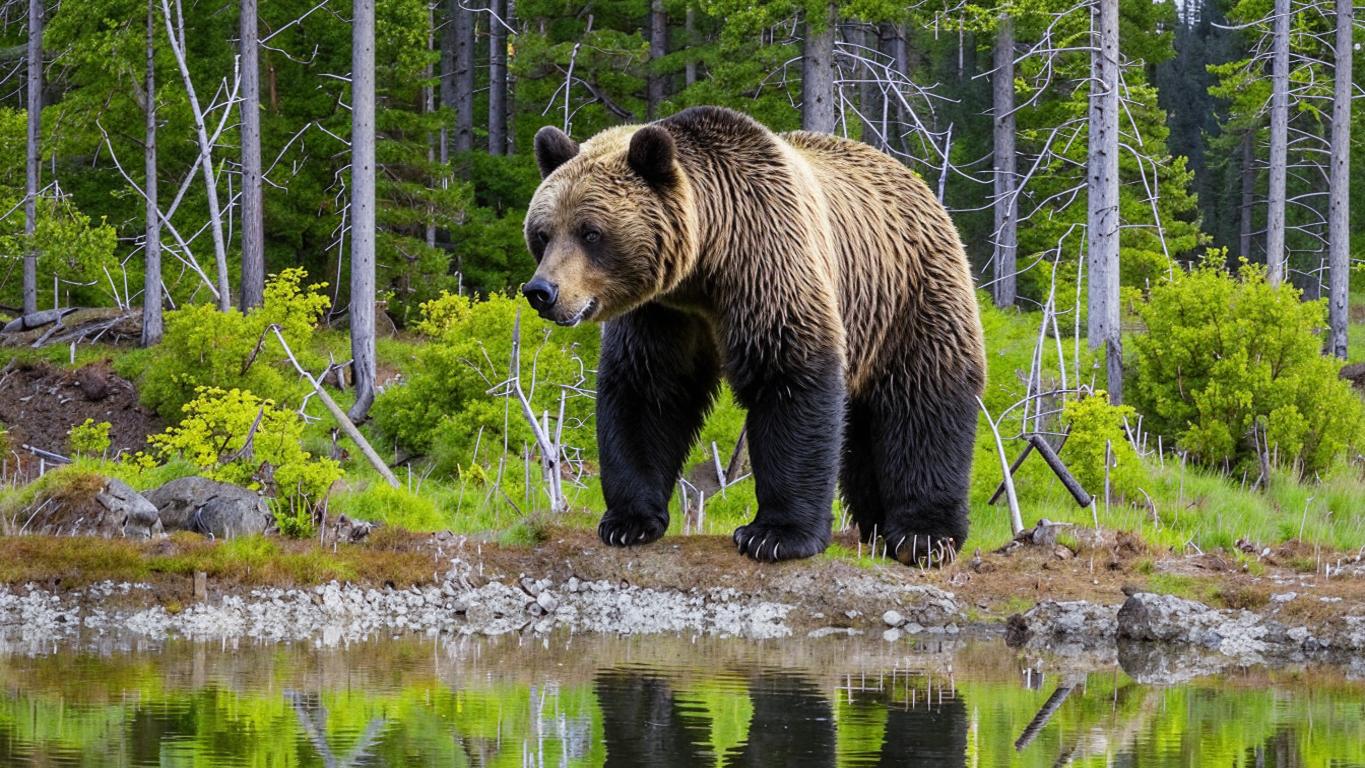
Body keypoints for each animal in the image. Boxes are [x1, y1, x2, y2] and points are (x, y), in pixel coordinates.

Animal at [518, 106, 982, 564]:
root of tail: (918, 184)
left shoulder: (768, 266)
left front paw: (775, 535)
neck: (706, 266)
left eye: (590, 231)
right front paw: (628, 521)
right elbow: (648, 390)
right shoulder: (663, 313)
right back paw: (876, 526)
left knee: (923, 404)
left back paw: (923, 536)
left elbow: (788, 378)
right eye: (542, 233)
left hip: (909, 296)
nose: (542, 291)